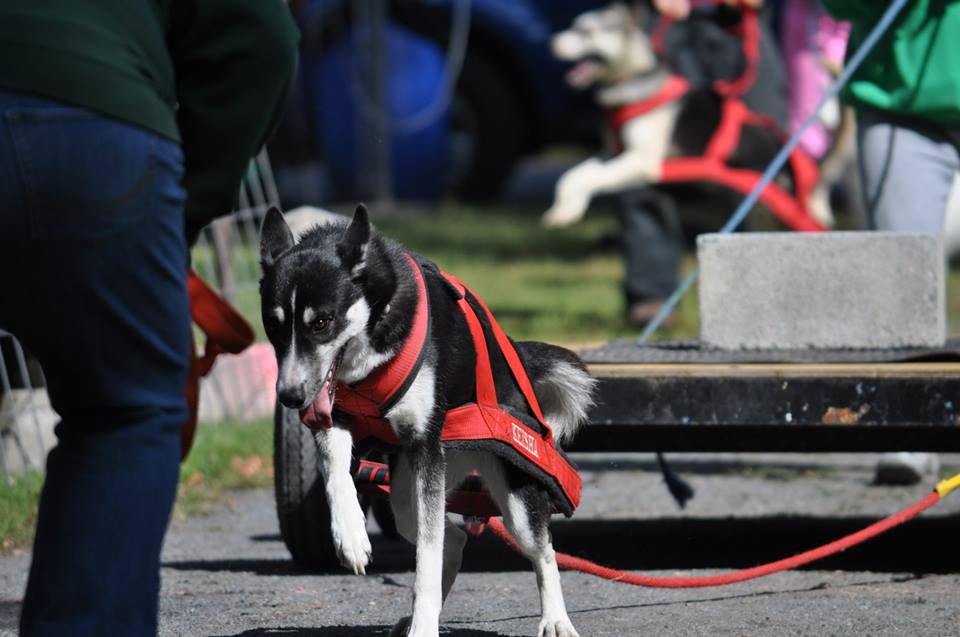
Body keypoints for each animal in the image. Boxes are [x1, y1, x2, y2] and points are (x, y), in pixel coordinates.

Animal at [258, 205, 596, 636]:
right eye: (273, 324)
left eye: (322, 322)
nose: (289, 396)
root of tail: (514, 356)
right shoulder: (336, 418)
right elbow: (335, 469)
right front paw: (350, 532)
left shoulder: (426, 448)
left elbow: (428, 561)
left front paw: (424, 627)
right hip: (406, 490)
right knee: (452, 538)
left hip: (512, 496)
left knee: (542, 550)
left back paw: (555, 619)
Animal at [544, 0, 836, 229]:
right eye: (573, 25)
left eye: (586, 31)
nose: (552, 42)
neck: (634, 80)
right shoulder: (614, 152)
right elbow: (575, 174)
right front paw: (566, 209)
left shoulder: (642, 160)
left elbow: (591, 176)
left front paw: (568, 207)